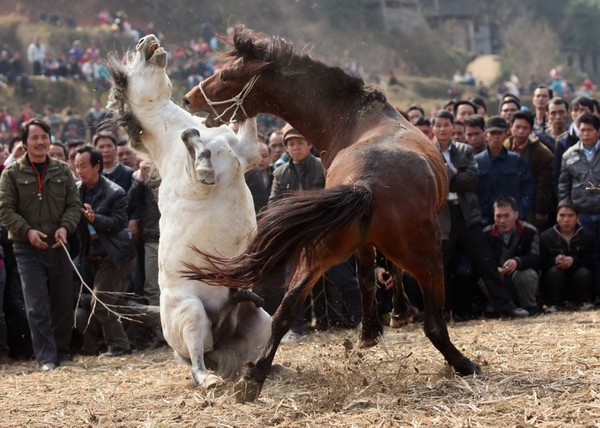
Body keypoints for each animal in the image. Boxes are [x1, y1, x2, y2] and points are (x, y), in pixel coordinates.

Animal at [105, 34, 270, 388]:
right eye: (130, 71)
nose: (146, 40)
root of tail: (219, 332)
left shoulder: (247, 155)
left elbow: (243, 127)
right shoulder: (194, 182)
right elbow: (195, 150)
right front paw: (200, 154)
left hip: (261, 322)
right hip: (191, 314)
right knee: (196, 362)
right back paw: (209, 380)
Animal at [180, 25, 480, 402]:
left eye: (226, 75)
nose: (189, 98)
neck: (355, 118)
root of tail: (364, 183)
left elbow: (370, 276)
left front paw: (375, 327)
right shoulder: (375, 245)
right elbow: (376, 274)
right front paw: (387, 321)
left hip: (318, 254)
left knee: (286, 309)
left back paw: (253, 378)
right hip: (426, 256)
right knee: (435, 324)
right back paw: (464, 363)